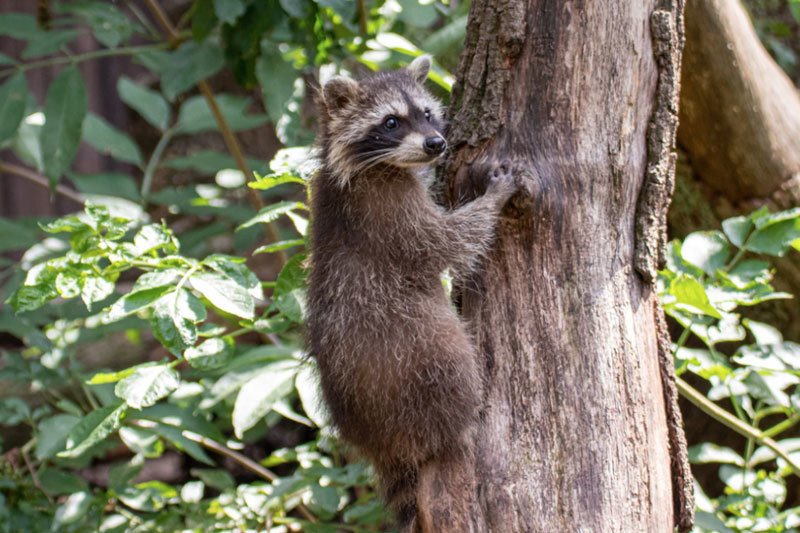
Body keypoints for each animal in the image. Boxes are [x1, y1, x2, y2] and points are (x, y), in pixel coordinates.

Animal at [306, 56, 516, 529]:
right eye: (390, 121)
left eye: (426, 113)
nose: (437, 144)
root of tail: (381, 441)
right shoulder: (387, 209)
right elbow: (442, 243)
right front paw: (492, 200)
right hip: (423, 359)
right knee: (455, 370)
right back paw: (465, 419)